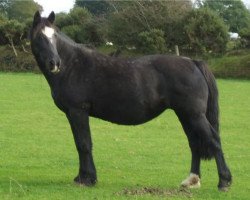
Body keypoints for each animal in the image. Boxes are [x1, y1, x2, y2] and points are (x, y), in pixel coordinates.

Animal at [29, 11, 232, 191]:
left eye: (54, 36)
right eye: (39, 36)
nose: (54, 63)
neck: (73, 65)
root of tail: (193, 62)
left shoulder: (78, 111)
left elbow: (84, 144)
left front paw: (87, 179)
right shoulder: (74, 114)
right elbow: (81, 144)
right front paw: (82, 177)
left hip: (194, 115)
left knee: (213, 139)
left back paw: (224, 182)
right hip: (185, 114)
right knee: (195, 143)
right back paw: (191, 180)